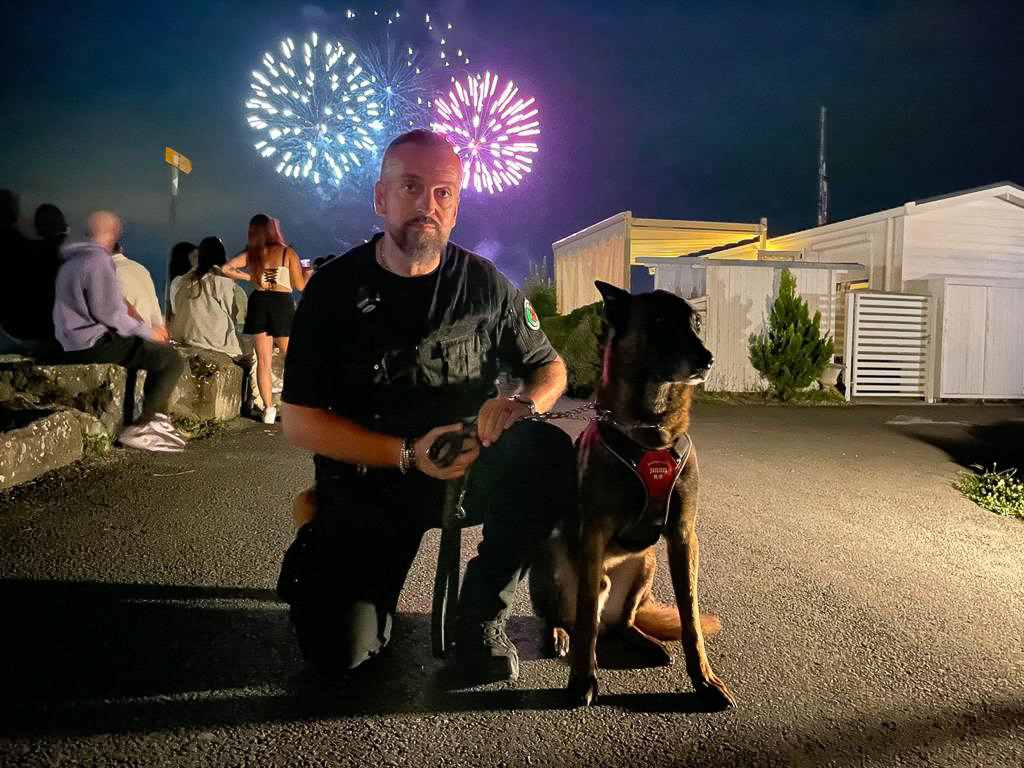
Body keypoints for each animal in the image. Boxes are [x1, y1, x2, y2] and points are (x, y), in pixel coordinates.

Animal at [529, 280, 735, 709]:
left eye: (696, 323)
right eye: (658, 321)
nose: (706, 359)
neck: (651, 431)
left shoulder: (683, 537)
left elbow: (690, 617)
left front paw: (704, 681)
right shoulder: (593, 534)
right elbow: (586, 618)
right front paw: (582, 679)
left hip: (647, 563)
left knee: (620, 622)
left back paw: (644, 639)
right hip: (551, 555)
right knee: (573, 618)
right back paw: (559, 633)